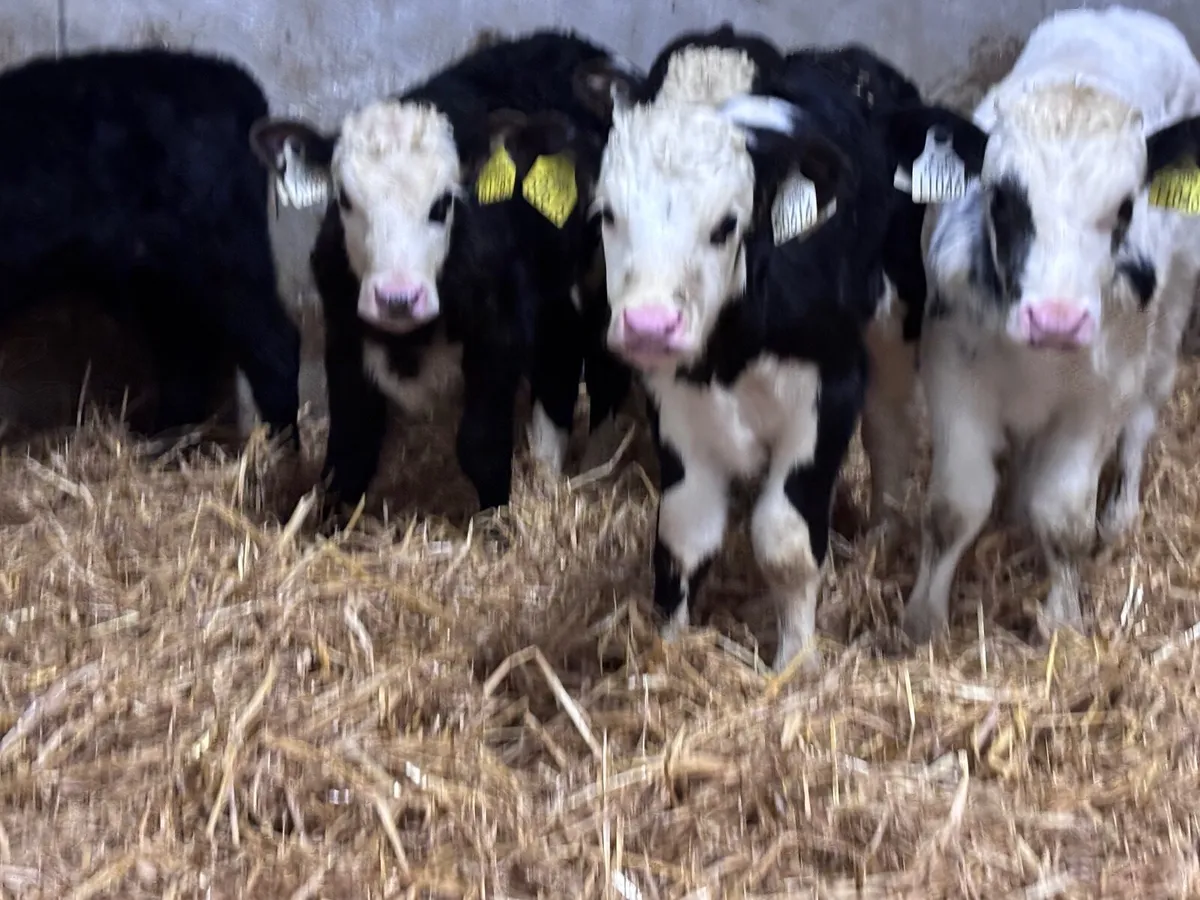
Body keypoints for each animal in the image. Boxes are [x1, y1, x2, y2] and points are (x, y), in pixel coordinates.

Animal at [0, 47, 300, 444]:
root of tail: (236, 81)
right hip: (156, 272)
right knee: (183, 355)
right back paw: (165, 443)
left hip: (222, 251)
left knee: (273, 346)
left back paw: (282, 451)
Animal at [249, 31, 633, 520]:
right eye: (345, 199)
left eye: (444, 203)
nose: (397, 298)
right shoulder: (343, 332)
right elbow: (351, 445)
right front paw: (326, 522)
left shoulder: (499, 332)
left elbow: (480, 443)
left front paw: (495, 523)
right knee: (559, 358)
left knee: (603, 367)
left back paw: (597, 465)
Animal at [574, 30, 940, 672]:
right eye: (608, 213)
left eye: (726, 224)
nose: (649, 325)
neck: (728, 353)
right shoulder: (674, 404)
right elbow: (682, 535)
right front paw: (668, 650)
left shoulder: (831, 388)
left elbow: (786, 541)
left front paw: (795, 663)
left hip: (896, 315)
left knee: (890, 428)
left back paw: (881, 534)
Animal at [884, 5, 1200, 643]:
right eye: (1003, 199)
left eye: (1125, 207)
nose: (1056, 319)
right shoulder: (954, 374)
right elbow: (954, 505)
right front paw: (923, 618)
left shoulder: (1101, 398)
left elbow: (1064, 516)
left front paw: (1061, 618)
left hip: (1173, 307)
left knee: (1144, 416)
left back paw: (1120, 513)